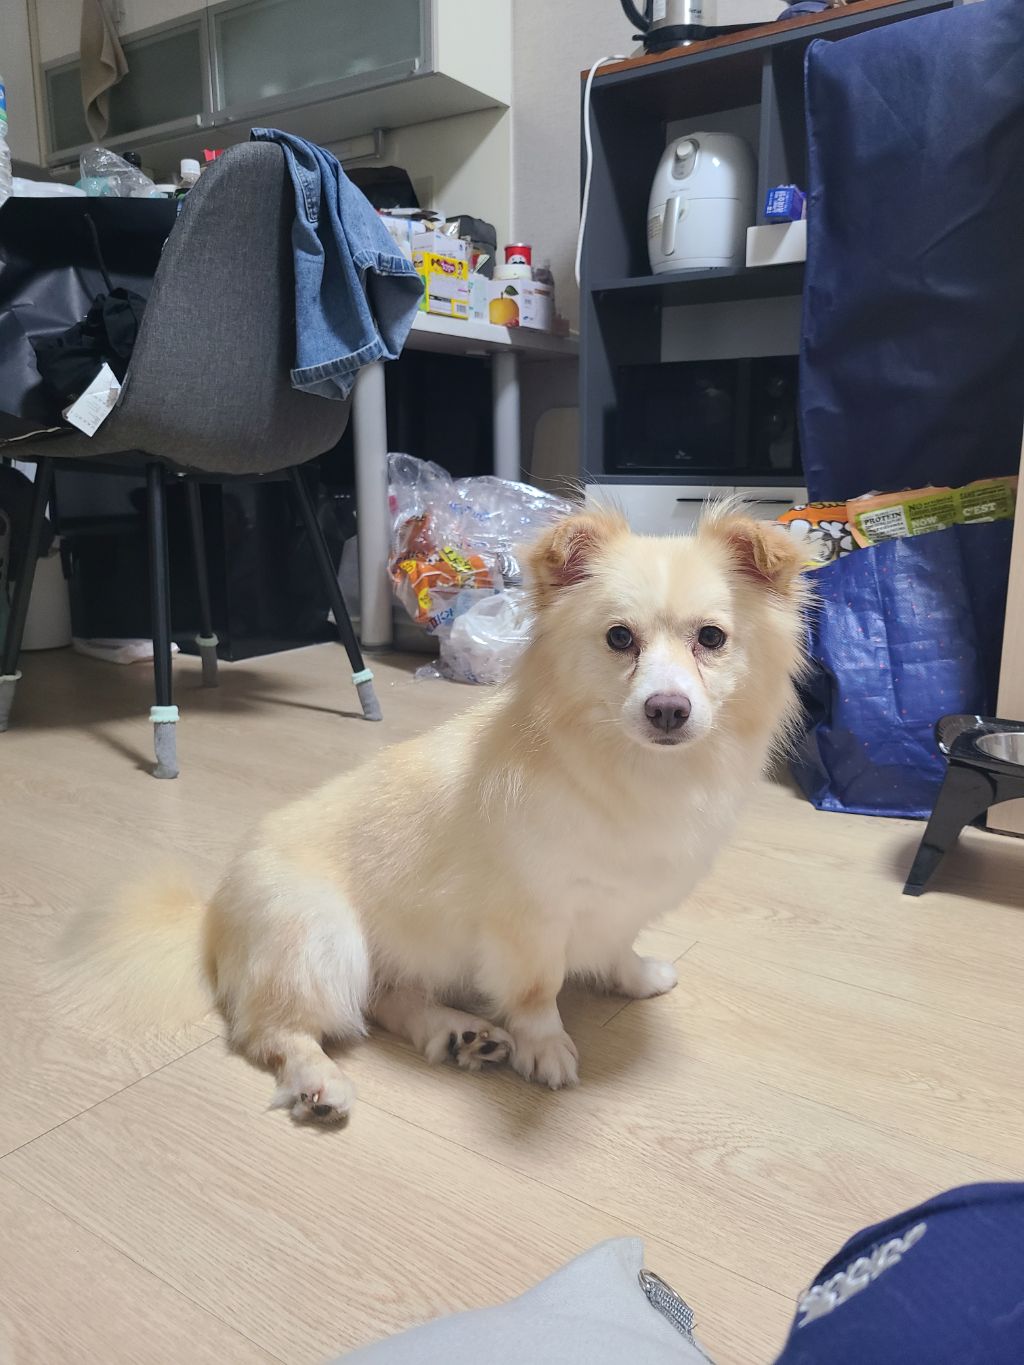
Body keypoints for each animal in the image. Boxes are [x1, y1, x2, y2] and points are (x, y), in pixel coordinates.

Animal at [67, 505, 807, 1126]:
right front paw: (546, 1048)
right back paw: (322, 1082)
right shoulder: (528, 923)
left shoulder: (622, 899)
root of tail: (212, 912)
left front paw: (637, 976)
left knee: (387, 997)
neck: (637, 772)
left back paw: (460, 1033)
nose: (668, 709)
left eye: (711, 638)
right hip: (323, 941)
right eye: (619, 639)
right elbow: (537, 993)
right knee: (275, 1031)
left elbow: (617, 943)